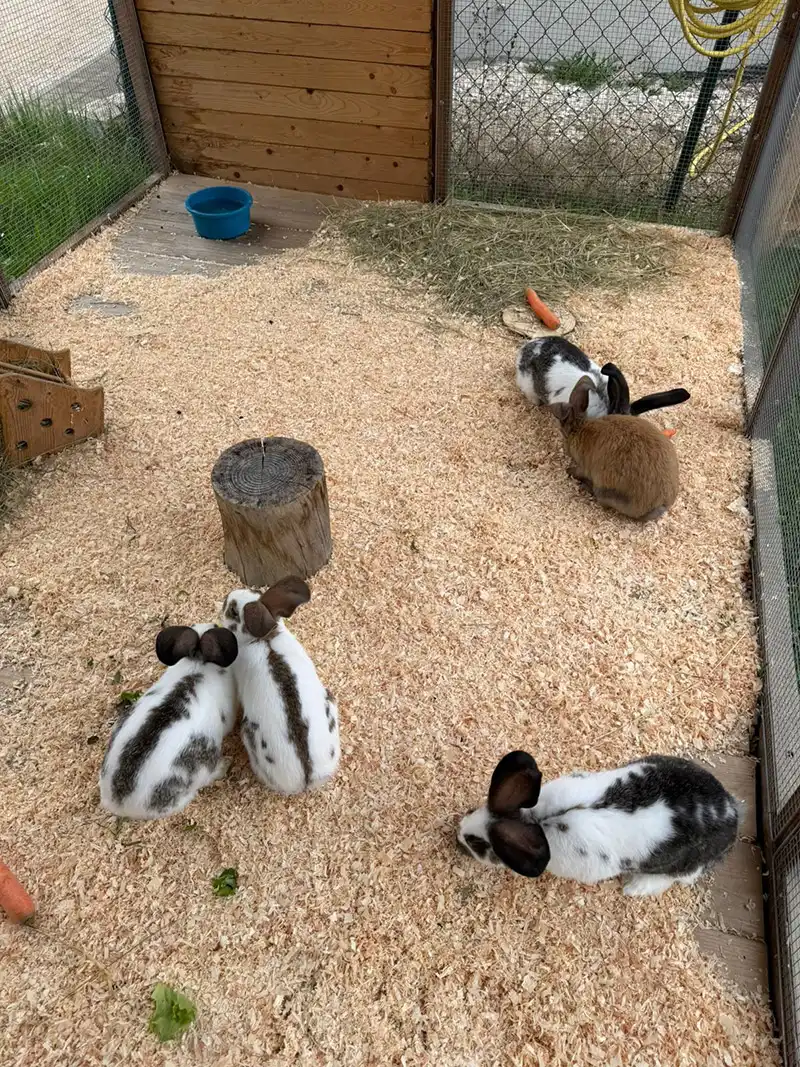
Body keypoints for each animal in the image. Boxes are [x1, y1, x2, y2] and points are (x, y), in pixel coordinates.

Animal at [457, 750, 740, 896]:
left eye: (477, 844)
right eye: (471, 810)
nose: (457, 836)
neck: (537, 822)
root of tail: (732, 812)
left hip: (681, 866)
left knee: (680, 878)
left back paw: (635, 888)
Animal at [553, 375, 679, 521]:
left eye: (564, 435)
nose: (564, 446)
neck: (580, 428)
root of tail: (661, 504)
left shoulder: (583, 467)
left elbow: (578, 471)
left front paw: (569, 471)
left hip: (603, 492)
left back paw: (585, 486)